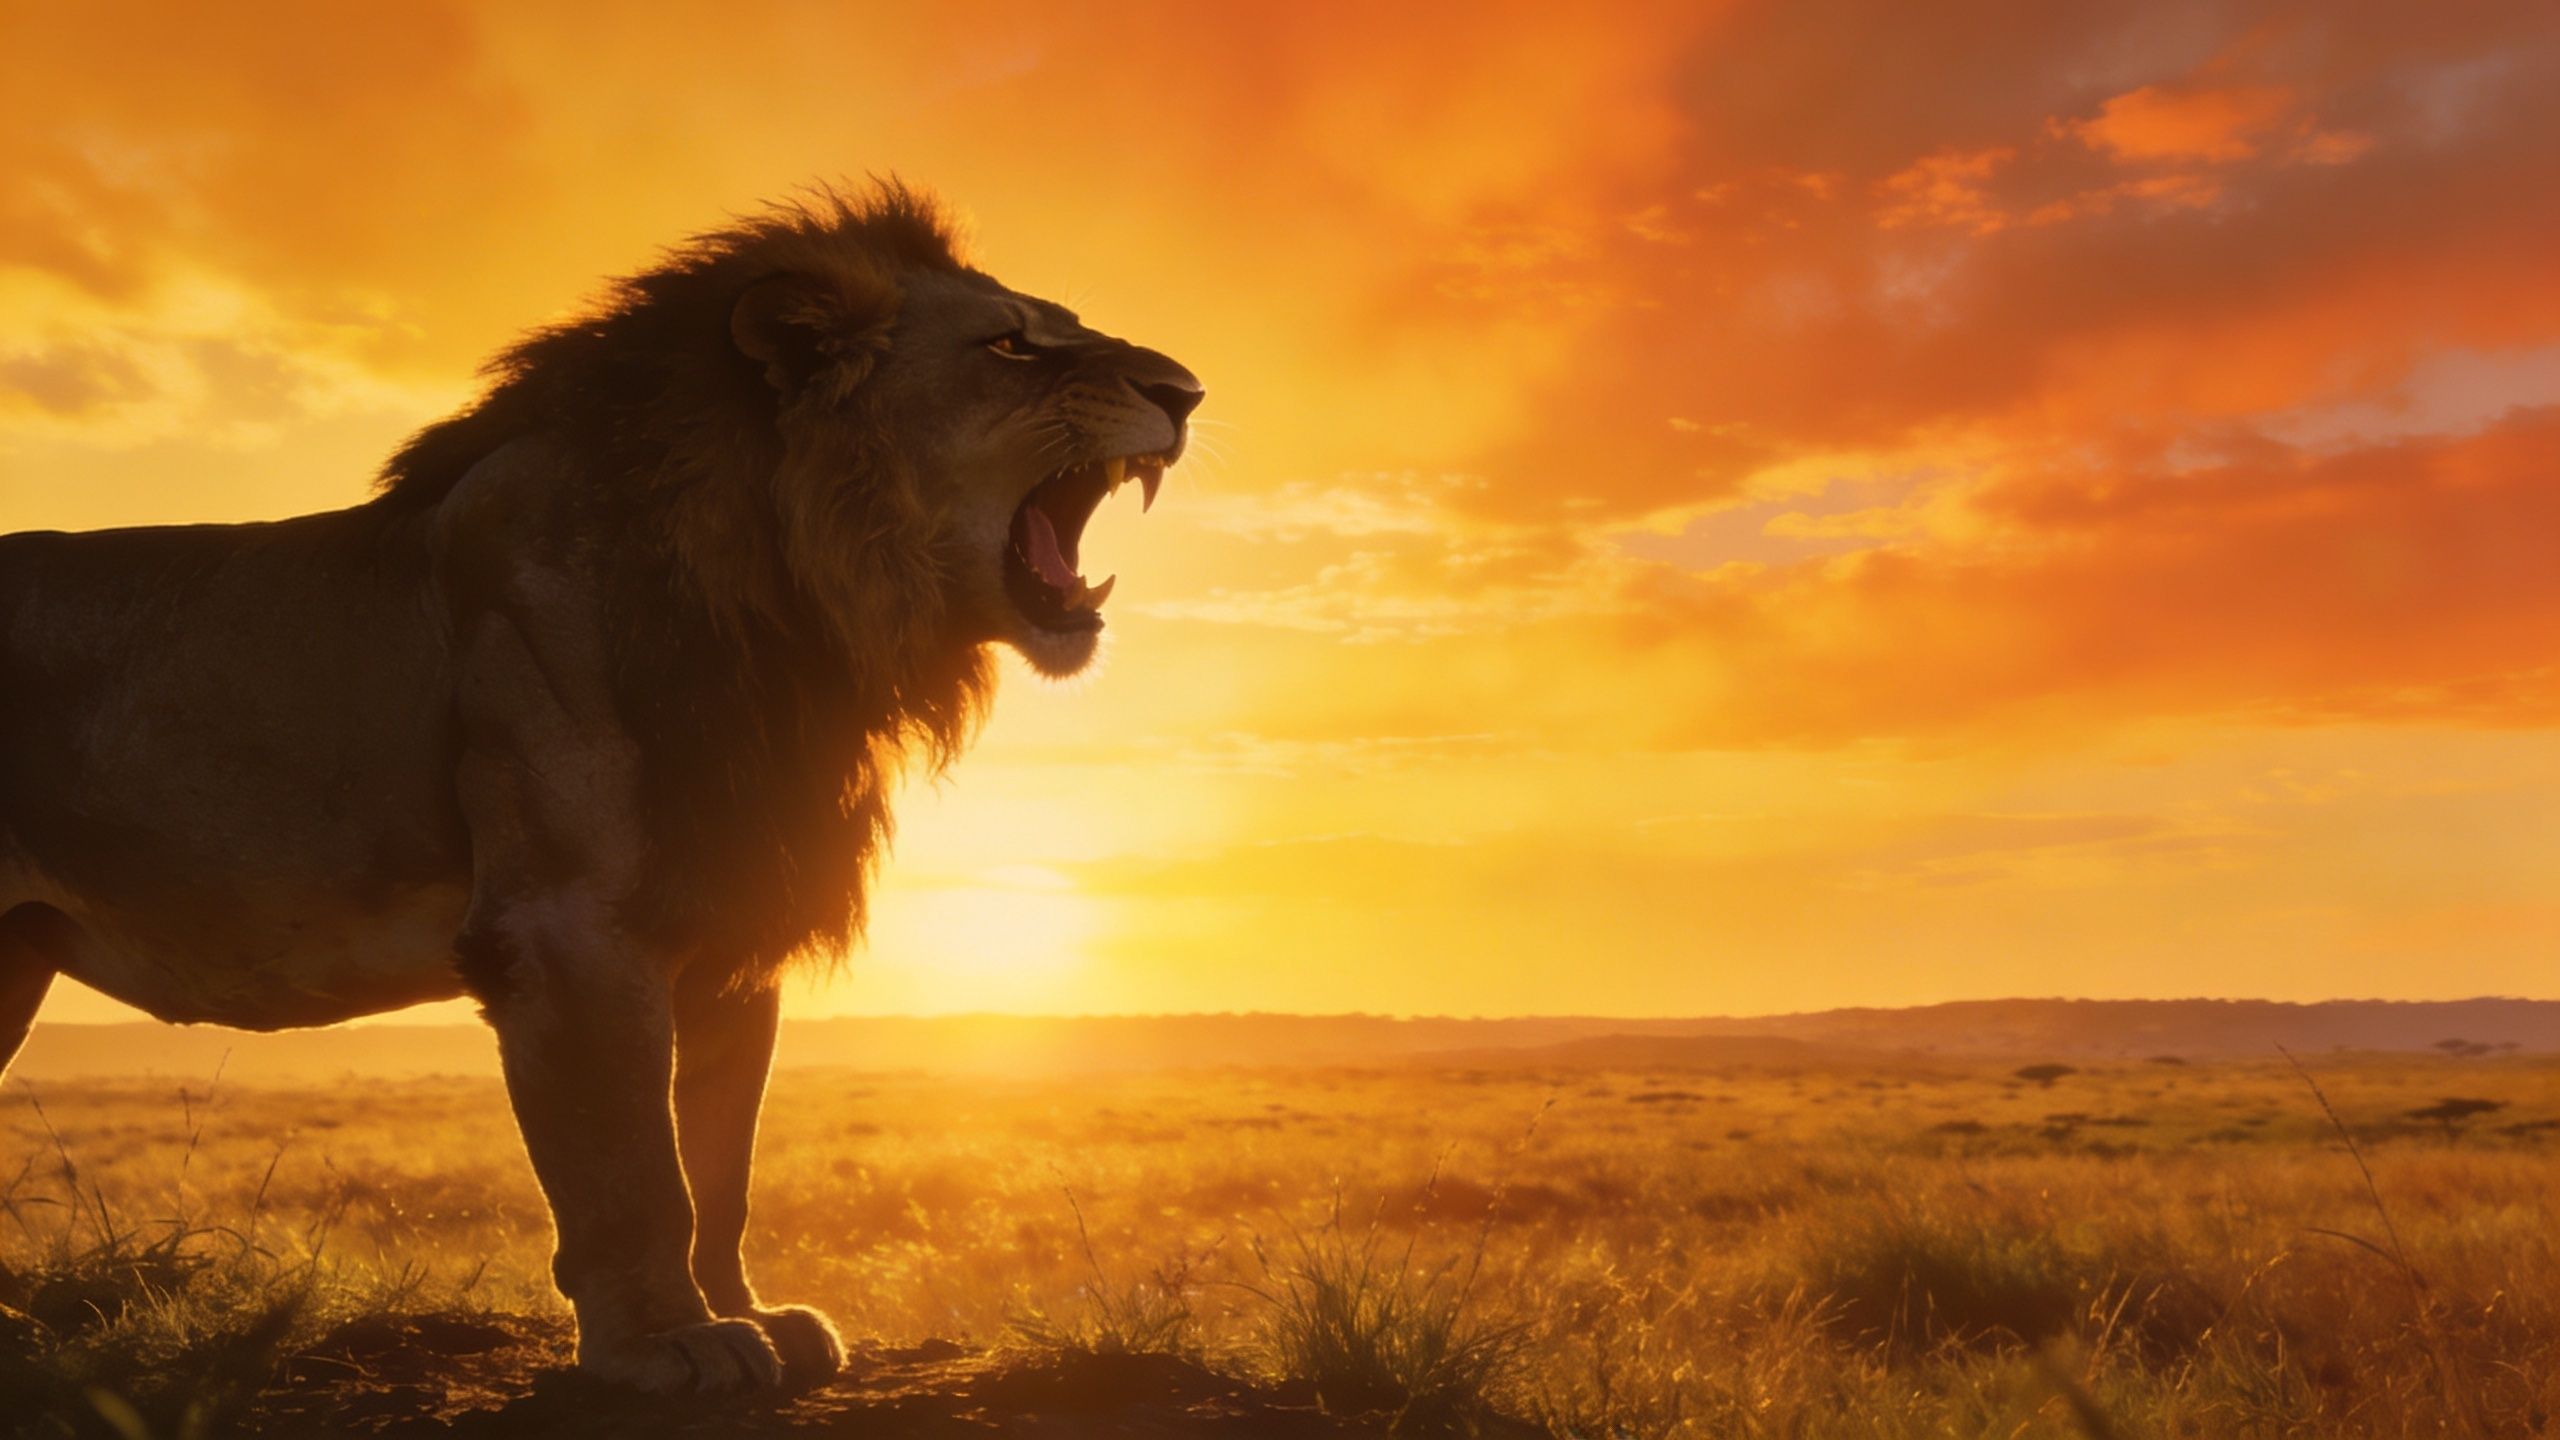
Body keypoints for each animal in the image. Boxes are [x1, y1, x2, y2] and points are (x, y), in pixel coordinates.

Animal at [0, 183, 1201, 1393]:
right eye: (1010, 345)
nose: (1189, 391)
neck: (794, 618)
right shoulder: (568, 923)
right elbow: (635, 1173)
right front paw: (666, 1342)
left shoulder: (728, 921)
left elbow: (720, 1166)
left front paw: (749, 1314)